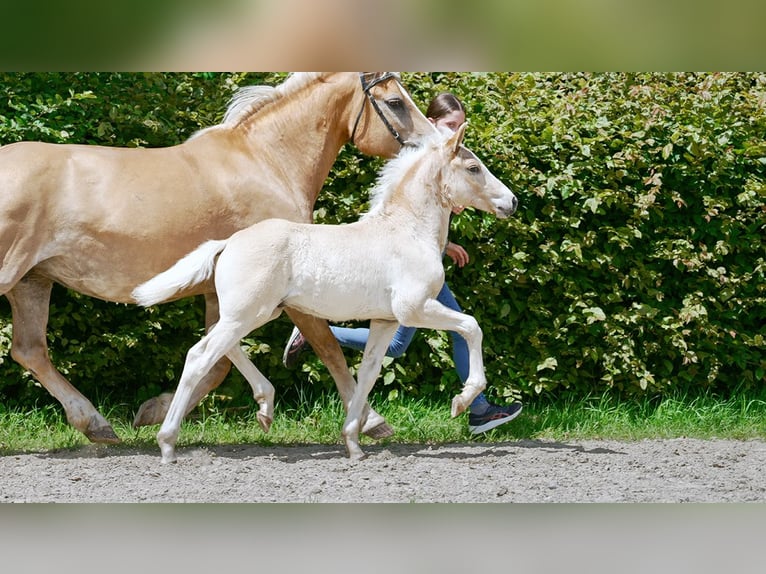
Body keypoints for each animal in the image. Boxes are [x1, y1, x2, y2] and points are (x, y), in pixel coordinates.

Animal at [0, 71, 436, 440]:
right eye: (395, 102)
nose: (435, 145)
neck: (269, 162)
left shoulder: (219, 291)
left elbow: (218, 362)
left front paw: (156, 411)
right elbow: (328, 349)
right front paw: (373, 422)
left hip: (33, 281)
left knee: (29, 350)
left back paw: (96, 424)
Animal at [135, 125, 520, 464]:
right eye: (473, 168)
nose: (512, 202)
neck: (407, 232)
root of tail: (228, 242)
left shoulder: (385, 321)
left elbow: (367, 373)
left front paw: (354, 443)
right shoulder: (415, 309)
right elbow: (471, 326)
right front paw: (461, 401)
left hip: (258, 313)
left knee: (221, 350)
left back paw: (265, 407)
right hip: (246, 314)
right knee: (199, 357)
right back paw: (167, 444)